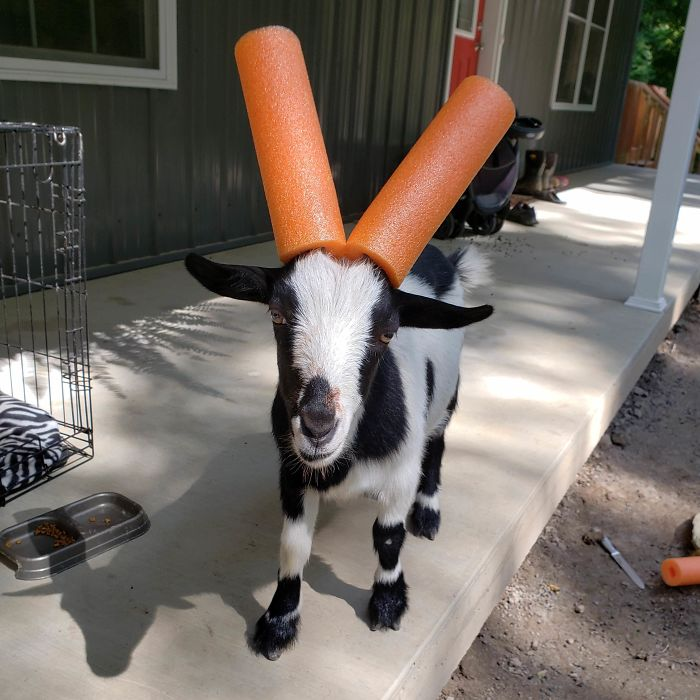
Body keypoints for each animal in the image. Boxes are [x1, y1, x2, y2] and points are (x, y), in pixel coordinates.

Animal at [186, 238, 492, 660]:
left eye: (388, 333)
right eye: (277, 314)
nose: (318, 426)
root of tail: (442, 257)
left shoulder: (400, 472)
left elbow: (388, 537)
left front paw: (388, 604)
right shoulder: (293, 472)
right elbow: (294, 544)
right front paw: (279, 624)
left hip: (446, 396)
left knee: (438, 445)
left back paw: (428, 514)